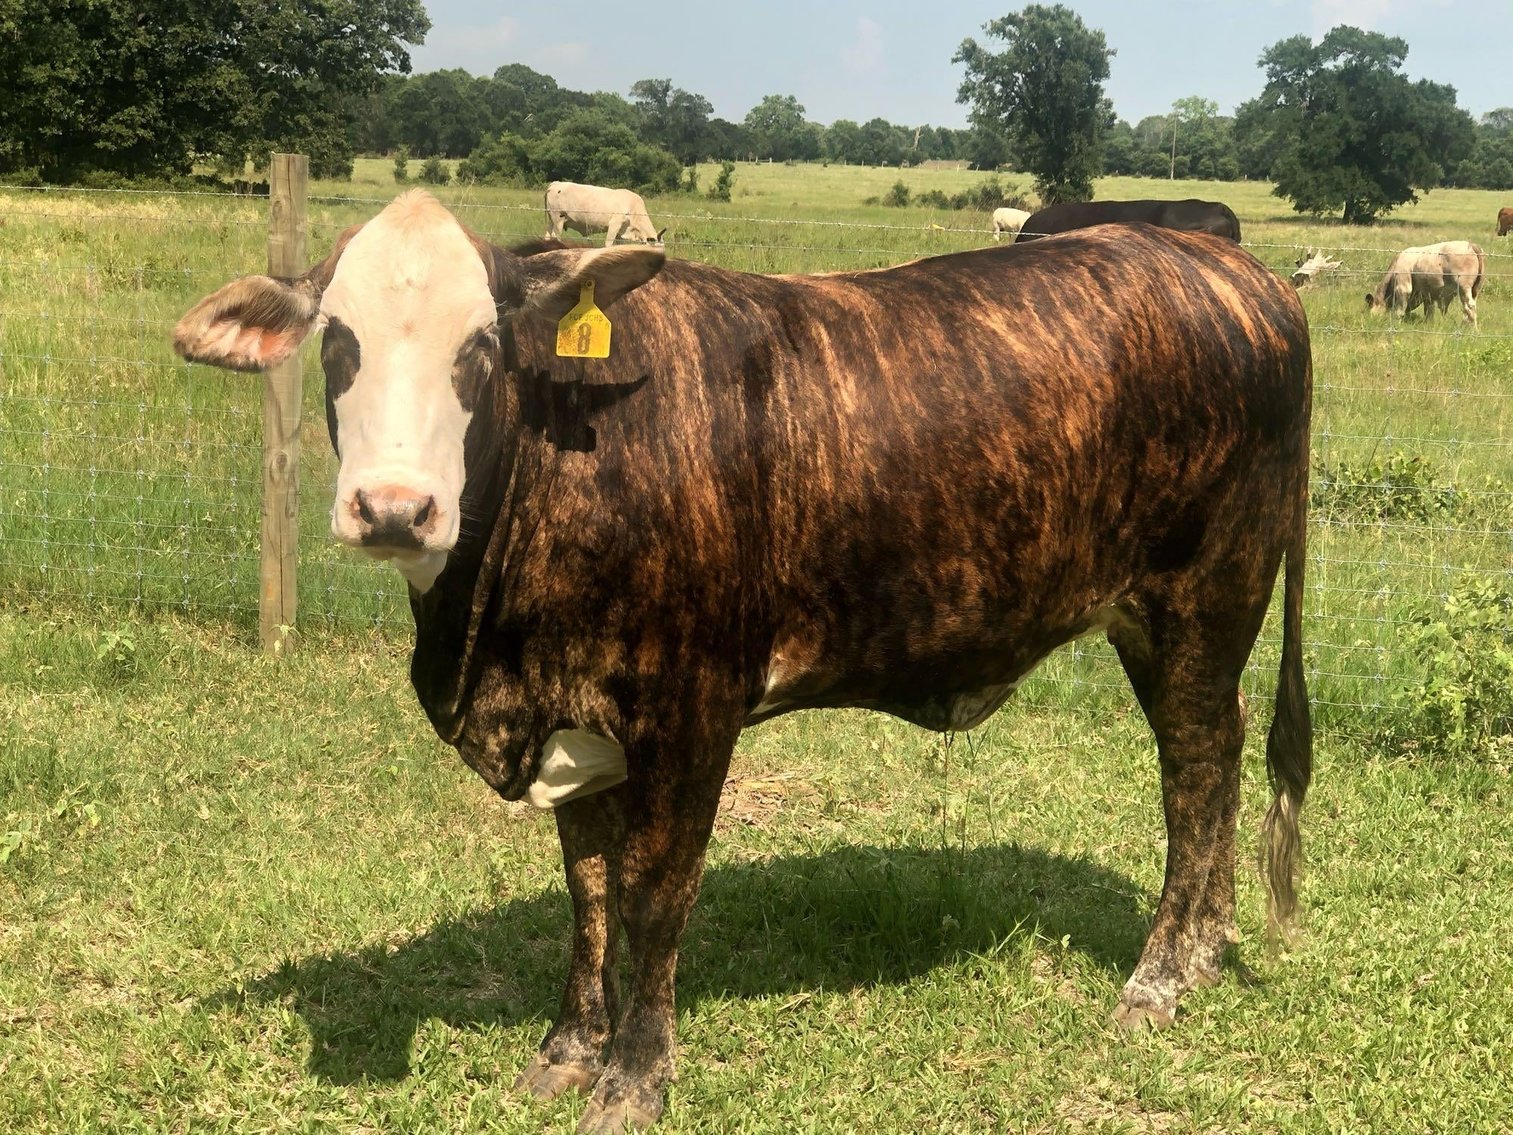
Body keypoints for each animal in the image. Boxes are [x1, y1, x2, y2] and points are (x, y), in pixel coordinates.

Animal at [173, 192, 1312, 1134]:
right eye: (336, 342)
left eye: (484, 344)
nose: (394, 509)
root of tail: (1231, 270)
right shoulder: (576, 718)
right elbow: (589, 893)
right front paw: (567, 1050)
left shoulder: (691, 708)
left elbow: (655, 896)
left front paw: (633, 1079)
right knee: (1218, 760)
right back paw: (1204, 953)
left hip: (1200, 599)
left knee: (1197, 771)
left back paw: (1160, 977)